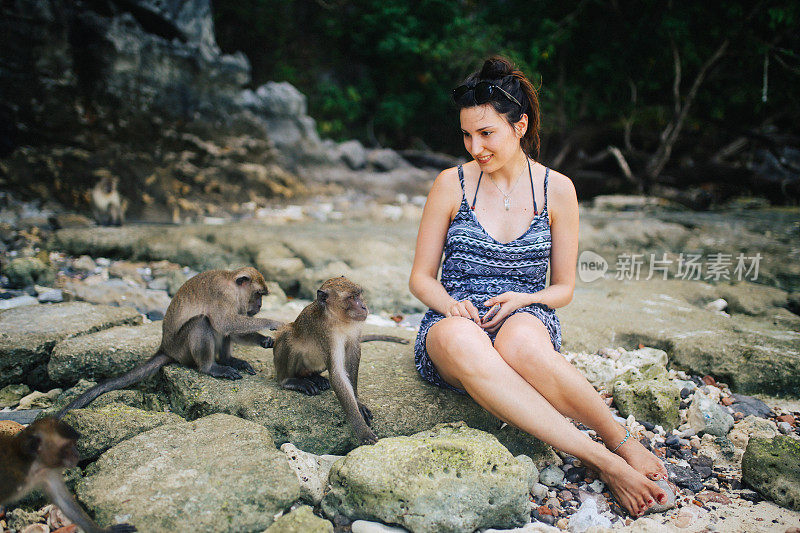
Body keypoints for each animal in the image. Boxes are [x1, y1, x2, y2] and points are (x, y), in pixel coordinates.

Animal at [0, 418, 136, 528]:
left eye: (74, 443)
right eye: (67, 446)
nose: (77, 454)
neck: (33, 464)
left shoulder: (48, 472)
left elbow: (64, 503)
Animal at [57, 266, 282, 416]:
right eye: (258, 294)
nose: (260, 306)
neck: (231, 286)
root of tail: (165, 347)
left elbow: (230, 330)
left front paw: (265, 341)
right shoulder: (222, 295)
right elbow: (224, 323)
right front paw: (273, 322)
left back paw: (228, 360)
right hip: (181, 348)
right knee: (202, 322)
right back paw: (211, 367)